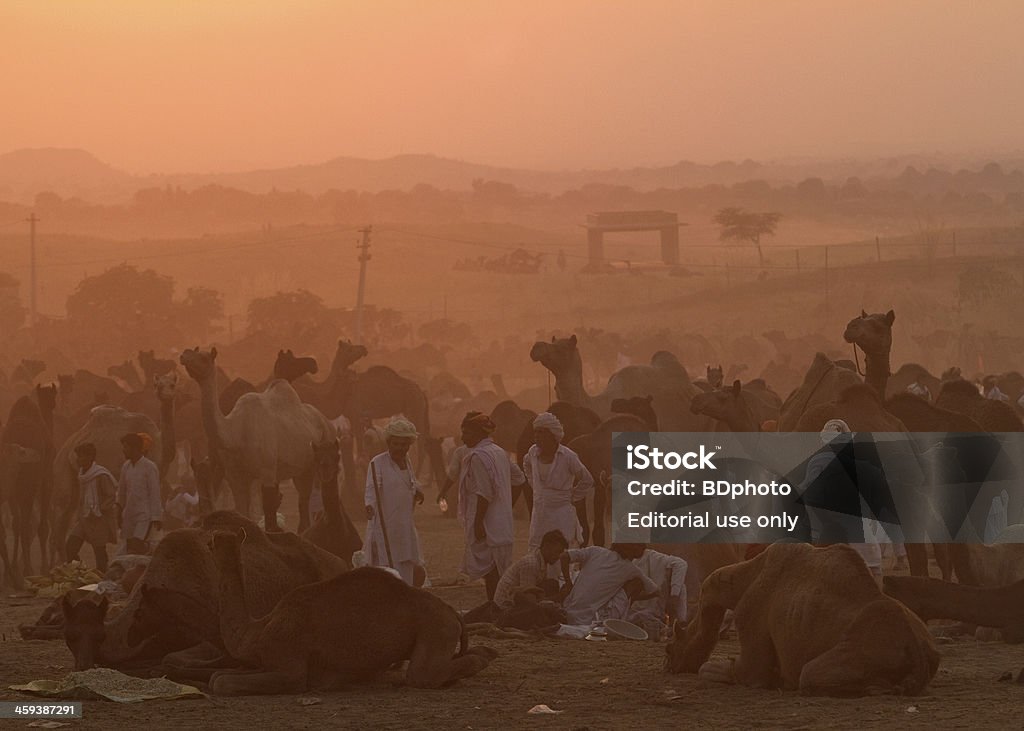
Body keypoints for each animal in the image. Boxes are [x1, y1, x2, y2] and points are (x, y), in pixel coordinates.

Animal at [179, 344, 331, 532]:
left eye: (204, 358)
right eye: (190, 352)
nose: (184, 355)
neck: (235, 433)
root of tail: (325, 421)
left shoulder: (267, 472)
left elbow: (269, 510)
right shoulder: (236, 476)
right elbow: (242, 510)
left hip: (315, 457)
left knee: (304, 500)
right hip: (302, 468)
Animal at [207, 528, 495, 692]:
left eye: (215, 539)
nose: (210, 541)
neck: (257, 631)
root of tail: (453, 613)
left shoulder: (289, 663)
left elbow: (221, 682)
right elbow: (217, 675)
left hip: (434, 629)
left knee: (423, 674)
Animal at [667, 540, 937, 696]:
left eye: (674, 645)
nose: (668, 664)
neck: (746, 577)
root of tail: (916, 647)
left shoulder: (749, 624)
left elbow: (732, 671)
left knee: (808, 675)